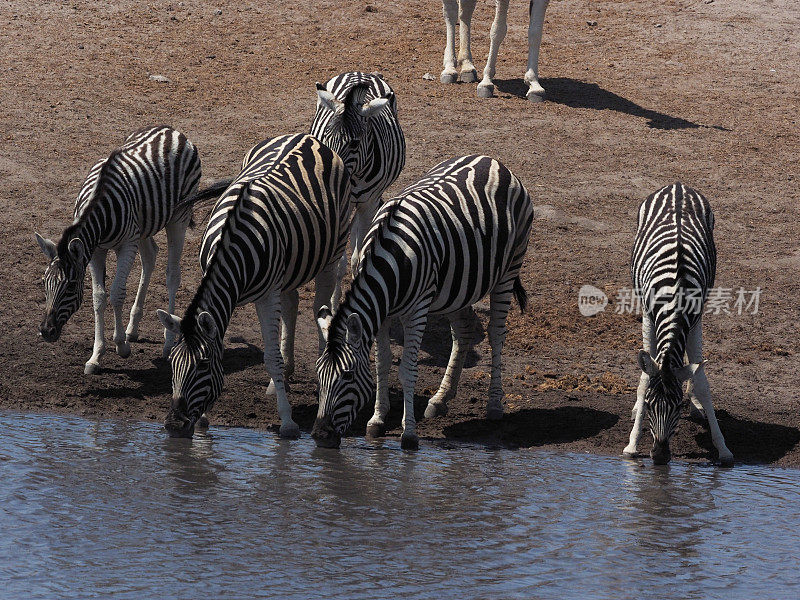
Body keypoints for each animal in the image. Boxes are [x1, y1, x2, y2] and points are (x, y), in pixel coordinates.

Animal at [36, 124, 202, 372]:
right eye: (44, 283)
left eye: (71, 286)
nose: (47, 332)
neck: (100, 208)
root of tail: (170, 130)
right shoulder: (95, 251)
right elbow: (99, 297)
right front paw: (96, 355)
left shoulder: (126, 245)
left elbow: (116, 293)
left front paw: (121, 345)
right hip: (144, 224)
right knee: (150, 256)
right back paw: (133, 328)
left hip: (178, 217)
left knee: (172, 275)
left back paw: (168, 343)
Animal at [156, 134, 350, 438]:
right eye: (173, 364)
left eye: (202, 365)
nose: (174, 425)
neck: (231, 249)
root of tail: (305, 137)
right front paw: (203, 419)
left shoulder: (267, 295)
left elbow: (270, 357)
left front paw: (288, 422)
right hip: (290, 267)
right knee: (292, 302)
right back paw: (281, 379)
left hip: (332, 252)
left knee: (319, 305)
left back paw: (321, 372)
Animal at [308, 70, 404, 308]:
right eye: (326, 138)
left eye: (353, 143)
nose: (326, 172)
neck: (356, 176)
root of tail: (358, 72)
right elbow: (339, 264)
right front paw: (333, 304)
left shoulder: (369, 202)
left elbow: (359, 258)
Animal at [310, 152, 532, 448]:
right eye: (318, 374)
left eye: (347, 376)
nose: (320, 436)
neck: (390, 259)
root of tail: (492, 160)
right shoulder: (382, 313)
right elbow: (382, 363)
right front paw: (377, 421)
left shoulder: (416, 312)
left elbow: (407, 370)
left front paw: (409, 433)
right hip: (456, 288)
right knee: (463, 331)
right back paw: (440, 399)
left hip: (509, 269)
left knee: (496, 334)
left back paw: (494, 405)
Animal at [620, 185, 736, 466]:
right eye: (651, 404)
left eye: (677, 405)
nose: (660, 457)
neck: (676, 293)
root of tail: (677, 185)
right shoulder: (649, 316)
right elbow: (645, 377)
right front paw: (632, 443)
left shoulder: (695, 320)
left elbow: (701, 378)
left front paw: (722, 447)